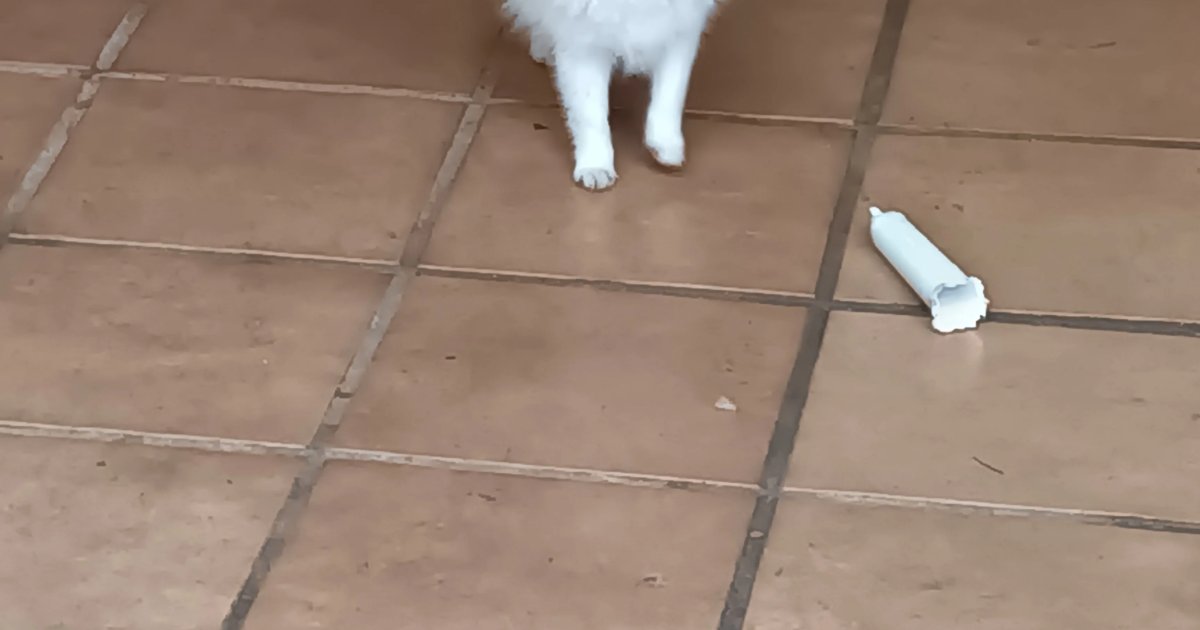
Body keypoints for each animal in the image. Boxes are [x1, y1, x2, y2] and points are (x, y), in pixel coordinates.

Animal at [502, 0, 723, 191]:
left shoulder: (680, 35)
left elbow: (669, 96)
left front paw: (666, 146)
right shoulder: (583, 44)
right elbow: (590, 114)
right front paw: (595, 167)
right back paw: (542, 47)